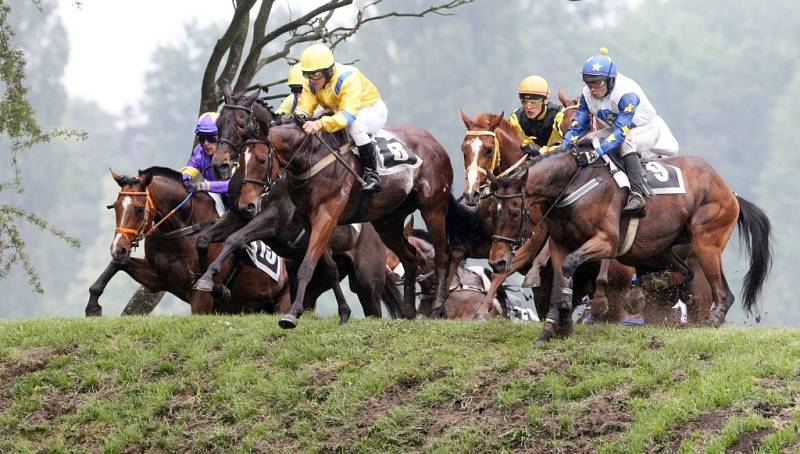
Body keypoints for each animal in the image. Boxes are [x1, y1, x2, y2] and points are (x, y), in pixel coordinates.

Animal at [85, 167, 290, 316]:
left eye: (138, 209)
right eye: (115, 207)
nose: (118, 248)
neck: (180, 230)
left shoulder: (200, 296)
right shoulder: (157, 278)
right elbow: (118, 264)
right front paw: (93, 306)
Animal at [241, 102, 454, 330]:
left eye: (261, 160)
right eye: (240, 161)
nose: (246, 205)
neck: (310, 156)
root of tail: (434, 142)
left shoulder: (327, 216)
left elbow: (307, 265)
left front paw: (291, 315)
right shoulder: (310, 220)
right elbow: (330, 269)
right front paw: (343, 312)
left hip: (433, 207)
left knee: (441, 256)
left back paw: (437, 308)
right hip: (388, 222)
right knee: (410, 257)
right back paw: (408, 312)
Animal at [490, 146, 772, 344]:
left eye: (514, 213)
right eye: (492, 209)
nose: (497, 261)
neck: (572, 185)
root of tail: (730, 192)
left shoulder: (607, 242)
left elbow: (570, 268)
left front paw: (567, 316)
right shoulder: (560, 244)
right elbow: (560, 279)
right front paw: (552, 329)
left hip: (705, 242)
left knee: (722, 292)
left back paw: (712, 318)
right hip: (657, 251)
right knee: (685, 273)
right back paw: (651, 283)